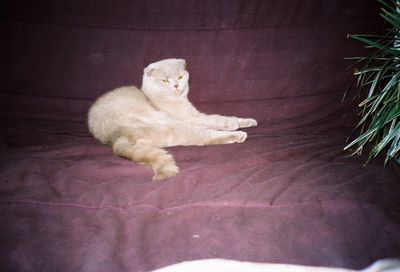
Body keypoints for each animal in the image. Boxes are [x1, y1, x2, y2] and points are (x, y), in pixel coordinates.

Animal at [87, 58, 258, 181]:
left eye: (180, 77)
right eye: (164, 81)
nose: (176, 85)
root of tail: (116, 136)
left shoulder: (195, 114)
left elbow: (219, 117)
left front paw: (247, 121)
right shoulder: (188, 118)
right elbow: (215, 118)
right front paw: (233, 123)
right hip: (166, 124)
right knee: (203, 136)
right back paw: (238, 135)